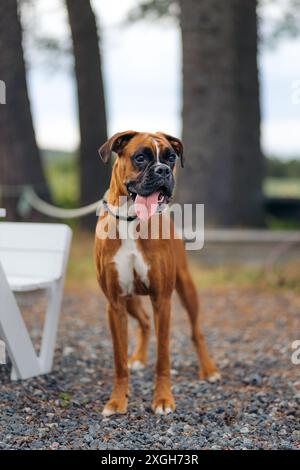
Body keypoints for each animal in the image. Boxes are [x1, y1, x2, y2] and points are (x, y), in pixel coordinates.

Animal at [95, 130, 219, 416]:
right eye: (140, 158)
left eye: (171, 157)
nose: (162, 170)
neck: (131, 219)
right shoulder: (114, 303)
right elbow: (119, 360)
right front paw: (117, 400)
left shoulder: (162, 300)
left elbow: (163, 357)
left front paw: (162, 399)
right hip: (129, 300)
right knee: (143, 322)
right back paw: (138, 358)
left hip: (186, 288)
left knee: (196, 332)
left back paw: (208, 369)